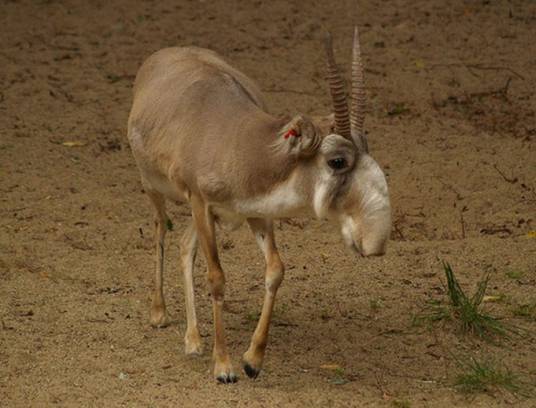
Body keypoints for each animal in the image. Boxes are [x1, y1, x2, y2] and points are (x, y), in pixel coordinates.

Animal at [127, 27, 392, 382]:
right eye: (337, 161)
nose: (374, 242)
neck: (239, 147)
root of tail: (163, 56)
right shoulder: (201, 203)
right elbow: (217, 277)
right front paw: (223, 367)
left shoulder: (256, 214)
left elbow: (276, 270)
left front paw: (252, 361)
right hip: (154, 188)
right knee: (160, 231)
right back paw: (159, 313)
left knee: (184, 244)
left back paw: (193, 340)